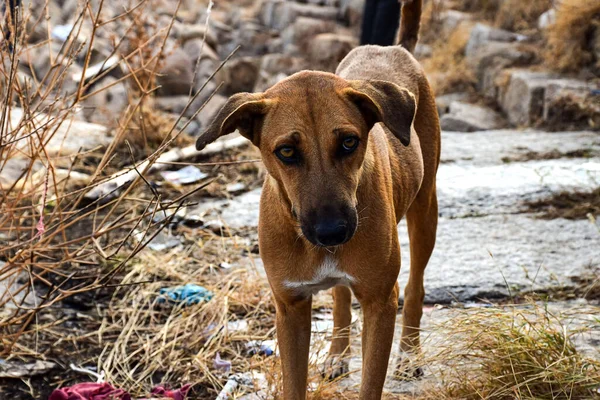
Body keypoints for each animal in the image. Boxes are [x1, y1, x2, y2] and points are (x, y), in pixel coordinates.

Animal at [195, 2, 438, 396]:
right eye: (287, 151)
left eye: (349, 142)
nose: (332, 232)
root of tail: (395, 48)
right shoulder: (290, 307)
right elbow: (294, 382)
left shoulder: (379, 303)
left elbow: (371, 383)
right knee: (340, 298)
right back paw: (338, 353)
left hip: (425, 210)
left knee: (415, 287)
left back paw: (410, 353)